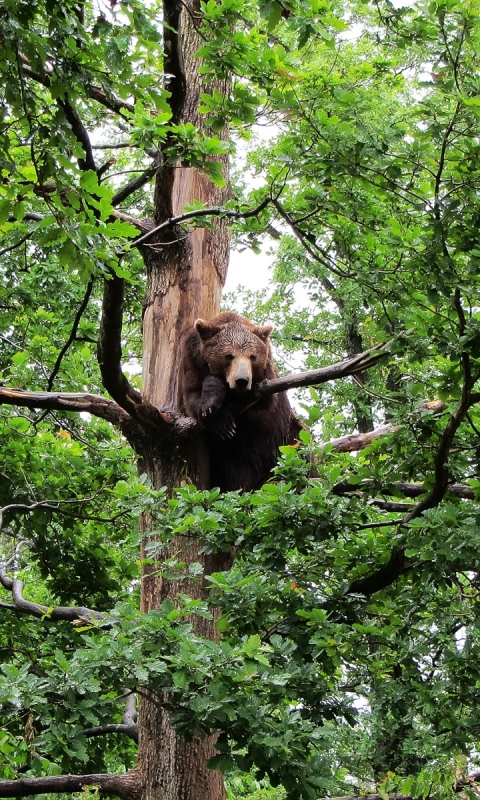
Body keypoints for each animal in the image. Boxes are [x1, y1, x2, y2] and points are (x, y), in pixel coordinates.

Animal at [178, 314, 302, 494]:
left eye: (253, 356)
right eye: (228, 356)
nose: (242, 380)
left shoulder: (266, 382)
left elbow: (263, 401)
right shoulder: (192, 362)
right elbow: (194, 399)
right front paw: (220, 418)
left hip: (284, 439)